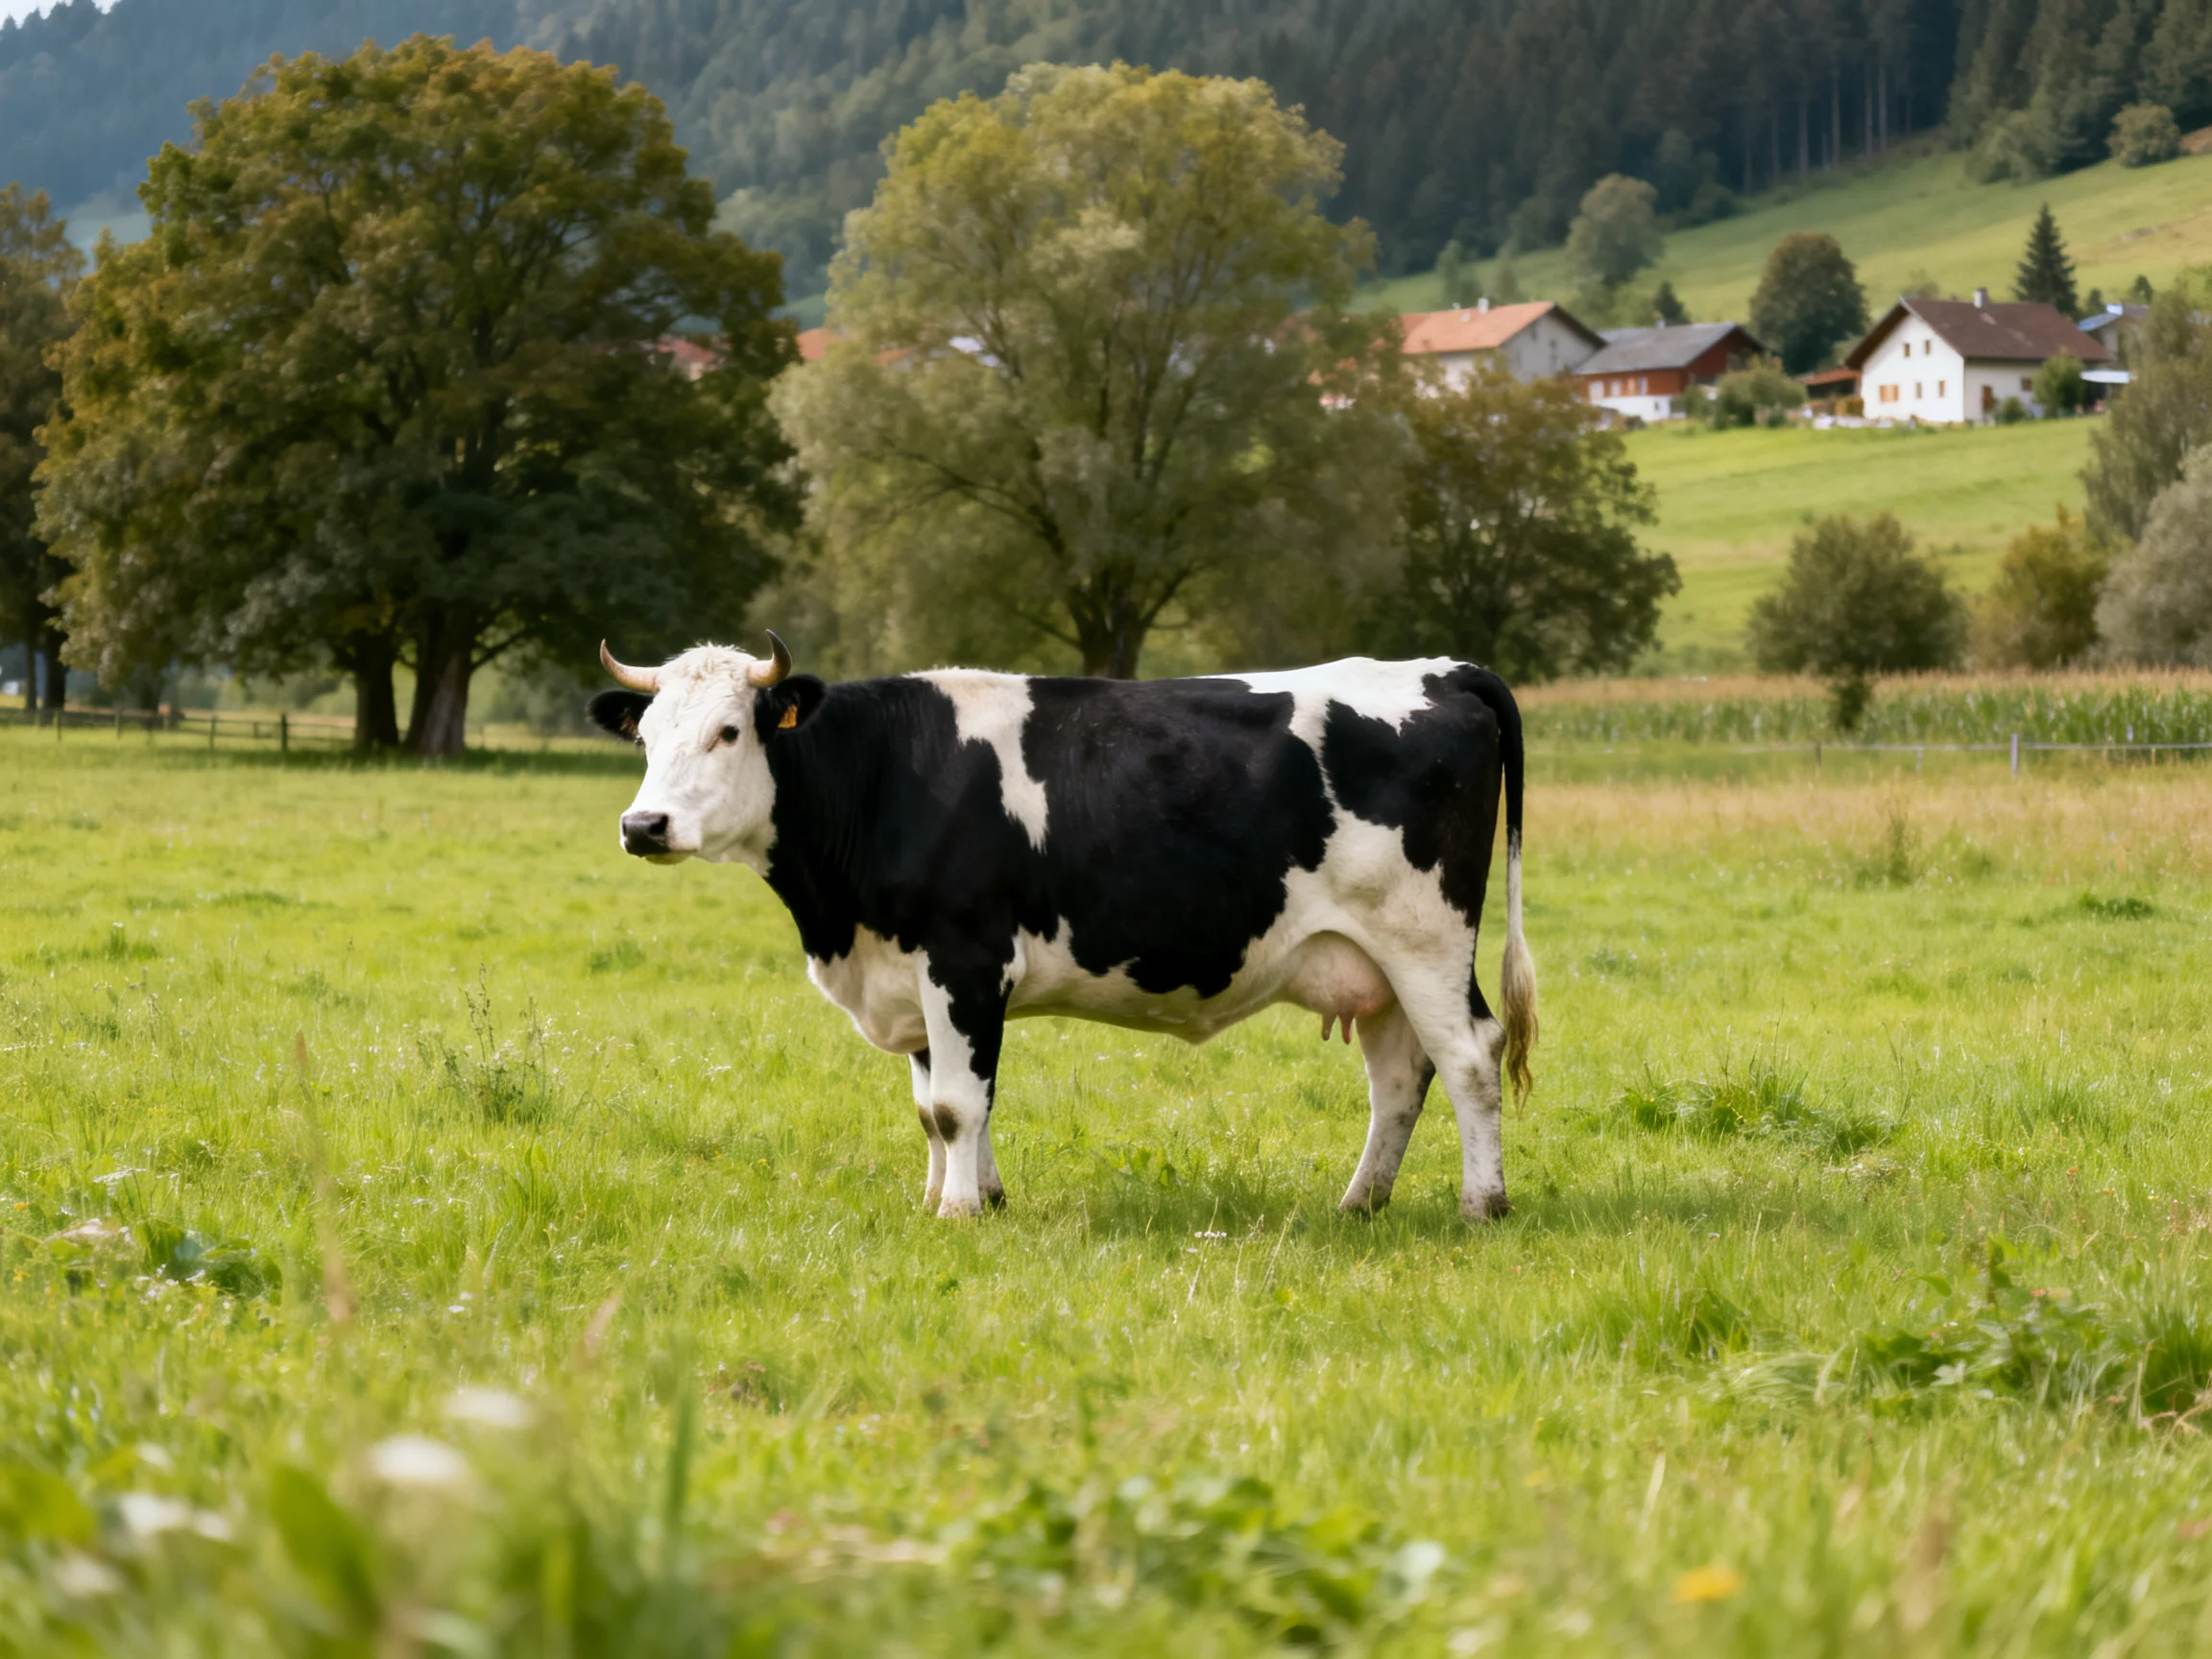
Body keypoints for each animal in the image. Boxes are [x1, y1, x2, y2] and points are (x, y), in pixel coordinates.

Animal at [589, 634, 1537, 1221]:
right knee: (1399, 1076)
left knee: (1469, 1056)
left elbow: (959, 1103)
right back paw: (1360, 1203)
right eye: (647, 738)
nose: (643, 826)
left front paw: (960, 1211)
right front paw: (957, 1199)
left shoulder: (965, 960)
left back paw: (1483, 1204)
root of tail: (1447, 669)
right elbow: (933, 1107)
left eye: (728, 732)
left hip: (1425, 937)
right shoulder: (910, 972)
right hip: (1370, 964)